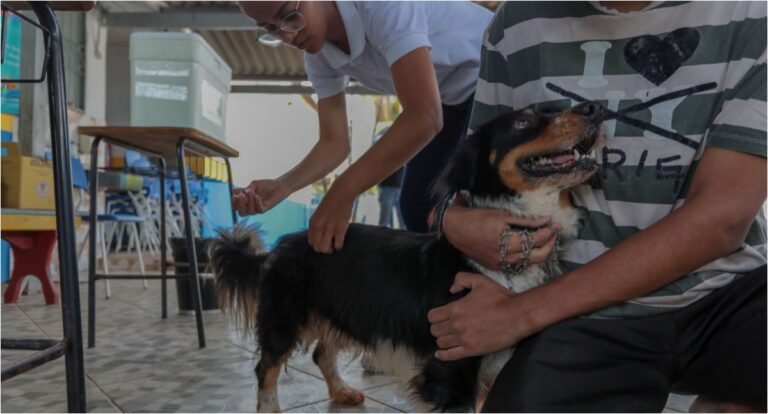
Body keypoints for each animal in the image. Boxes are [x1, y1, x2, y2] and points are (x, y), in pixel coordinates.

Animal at [210, 101, 608, 414]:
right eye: (523, 123)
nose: (594, 108)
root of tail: (283, 243)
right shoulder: (451, 369)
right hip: (285, 317)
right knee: (266, 368)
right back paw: (271, 407)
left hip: (344, 308)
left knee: (321, 354)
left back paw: (341, 392)